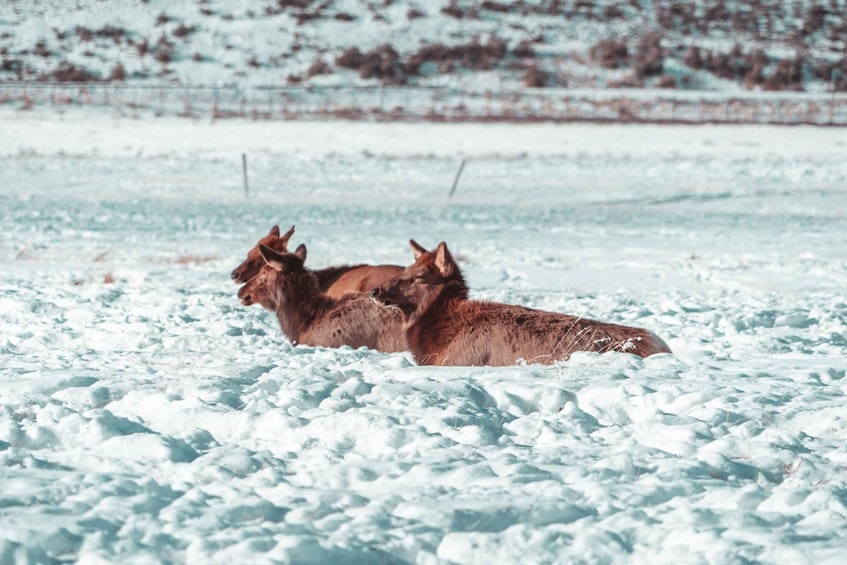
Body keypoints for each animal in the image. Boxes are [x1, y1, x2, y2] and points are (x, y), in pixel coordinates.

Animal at [374, 239, 672, 366]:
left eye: (418, 276)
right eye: (404, 269)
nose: (376, 291)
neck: (437, 342)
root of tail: (663, 347)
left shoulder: (460, 360)